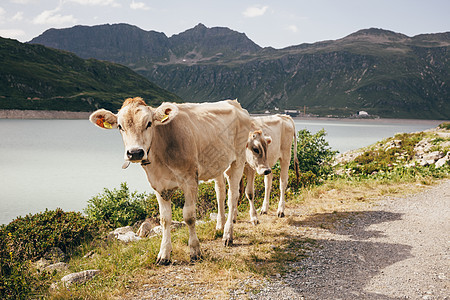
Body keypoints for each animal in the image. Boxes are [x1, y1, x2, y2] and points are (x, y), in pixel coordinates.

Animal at [89, 97, 268, 264]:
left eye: (148, 123)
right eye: (120, 126)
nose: (135, 153)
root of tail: (235, 104)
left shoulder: (190, 180)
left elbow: (189, 216)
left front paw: (195, 251)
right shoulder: (158, 185)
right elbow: (164, 219)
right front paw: (164, 254)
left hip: (238, 160)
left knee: (232, 198)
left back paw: (228, 235)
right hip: (218, 164)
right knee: (221, 194)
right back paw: (220, 227)